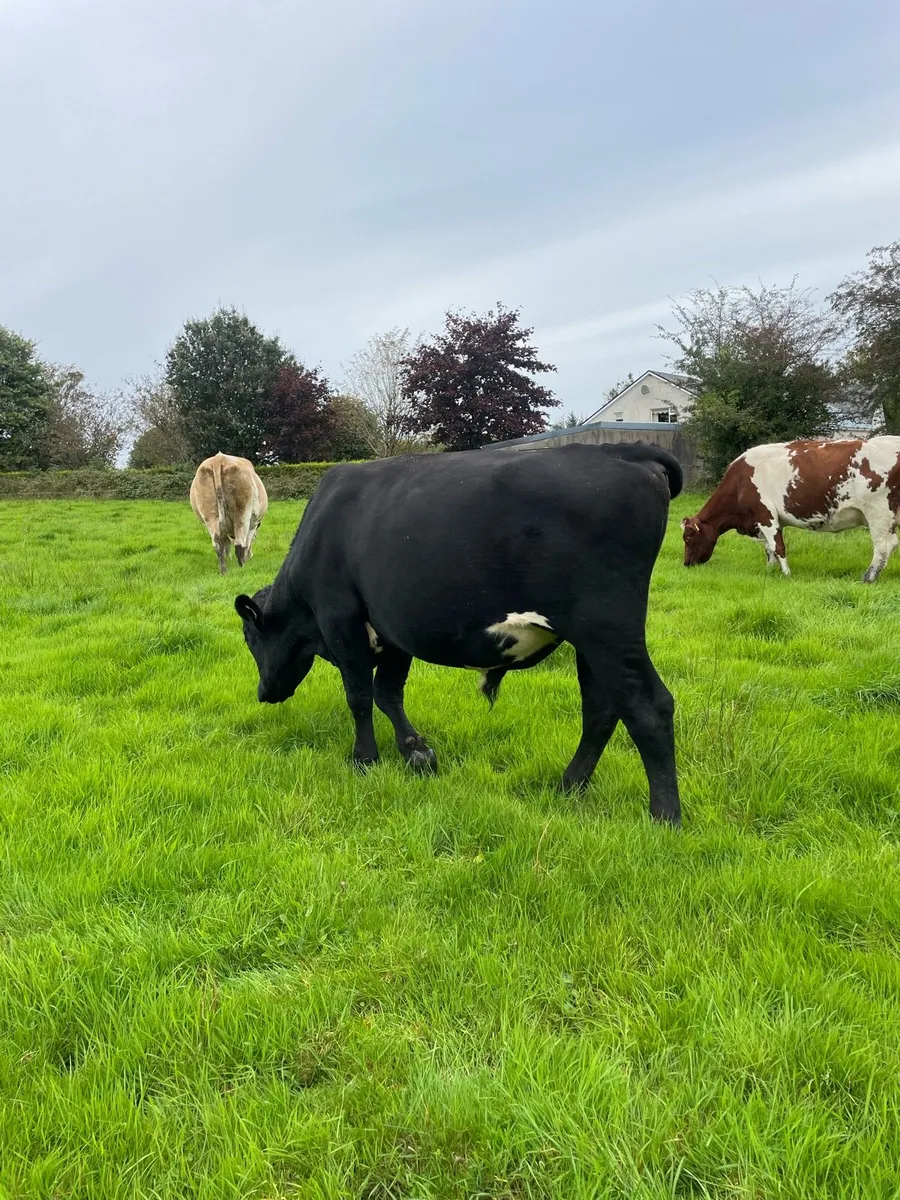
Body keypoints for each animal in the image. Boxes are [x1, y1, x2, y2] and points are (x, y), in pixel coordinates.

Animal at [233, 443, 683, 825]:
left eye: (249, 639)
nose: (262, 693)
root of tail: (624, 450)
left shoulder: (339, 618)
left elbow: (359, 695)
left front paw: (365, 759)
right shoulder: (393, 629)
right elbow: (388, 693)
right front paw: (416, 752)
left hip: (606, 627)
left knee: (648, 705)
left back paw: (665, 816)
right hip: (590, 642)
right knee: (601, 708)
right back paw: (568, 786)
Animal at [681, 437, 900, 582]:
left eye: (688, 538)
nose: (686, 564)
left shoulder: (765, 515)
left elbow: (778, 547)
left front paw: (786, 574)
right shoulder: (768, 520)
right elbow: (769, 548)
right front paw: (769, 570)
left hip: (878, 513)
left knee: (883, 546)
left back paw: (868, 578)